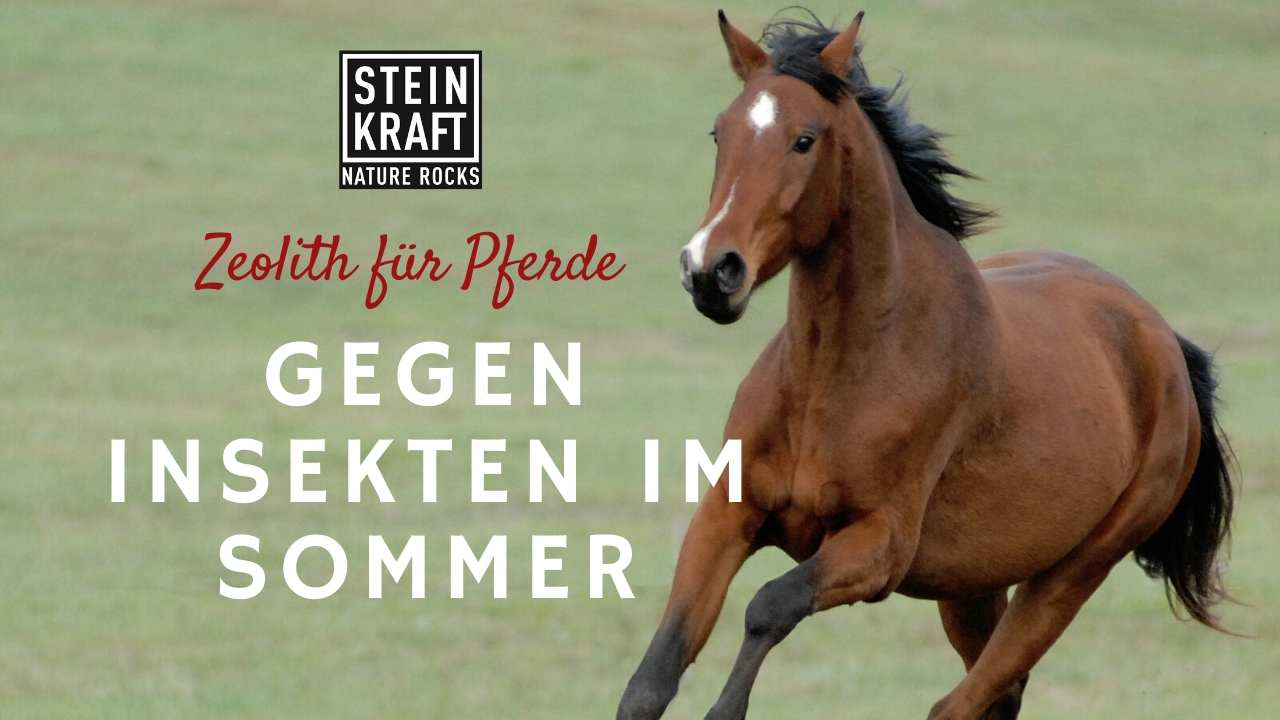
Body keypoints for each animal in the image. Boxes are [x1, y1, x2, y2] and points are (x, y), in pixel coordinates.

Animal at [616, 10, 1235, 720]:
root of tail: (1166, 344)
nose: (710, 272)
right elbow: (654, 675)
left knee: (966, 699)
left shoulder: (880, 546)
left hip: (1071, 575)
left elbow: (769, 606)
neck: (838, 373)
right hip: (972, 583)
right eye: (721, 131)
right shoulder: (727, 515)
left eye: (804, 140)